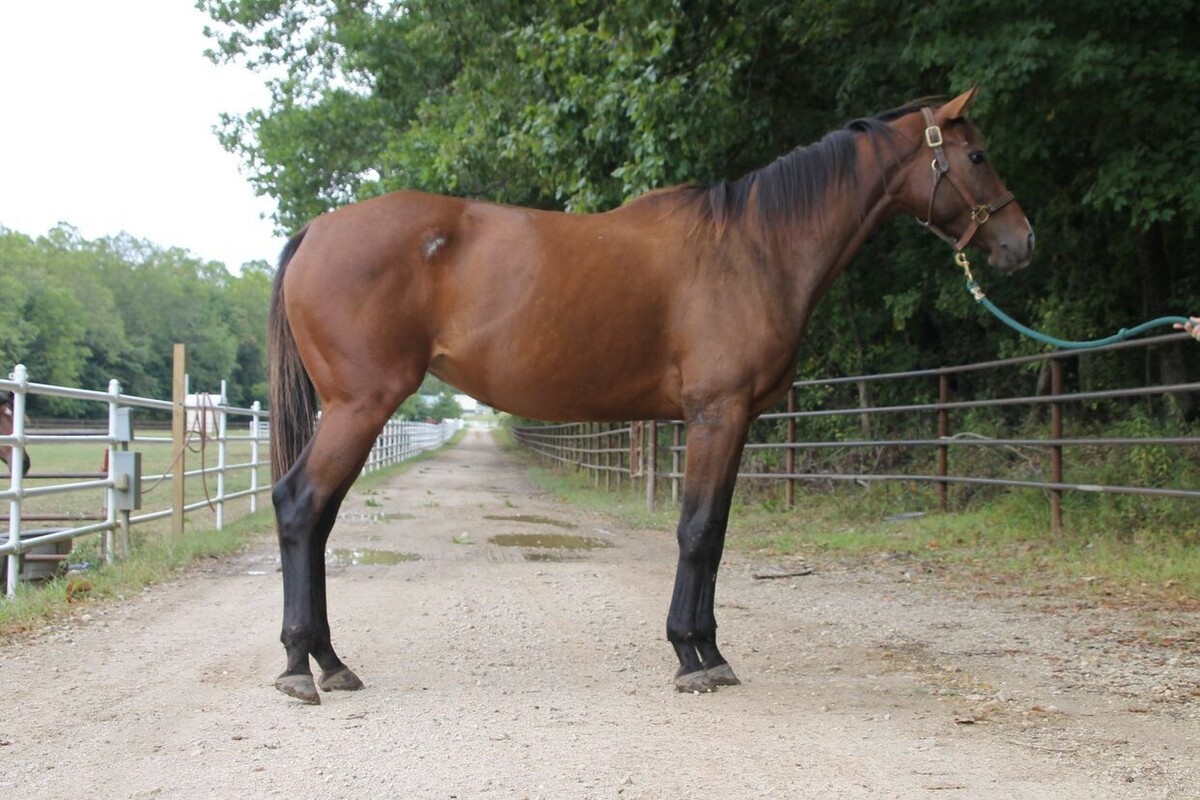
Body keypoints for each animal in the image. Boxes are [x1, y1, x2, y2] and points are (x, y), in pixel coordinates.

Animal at [268, 87, 1034, 704]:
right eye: (977, 156)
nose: (1022, 243)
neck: (754, 247)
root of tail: (317, 231)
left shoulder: (730, 421)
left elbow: (713, 533)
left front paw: (708, 652)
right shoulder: (717, 416)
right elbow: (698, 533)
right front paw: (693, 658)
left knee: (317, 517)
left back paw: (328, 661)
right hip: (360, 406)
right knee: (302, 508)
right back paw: (305, 668)